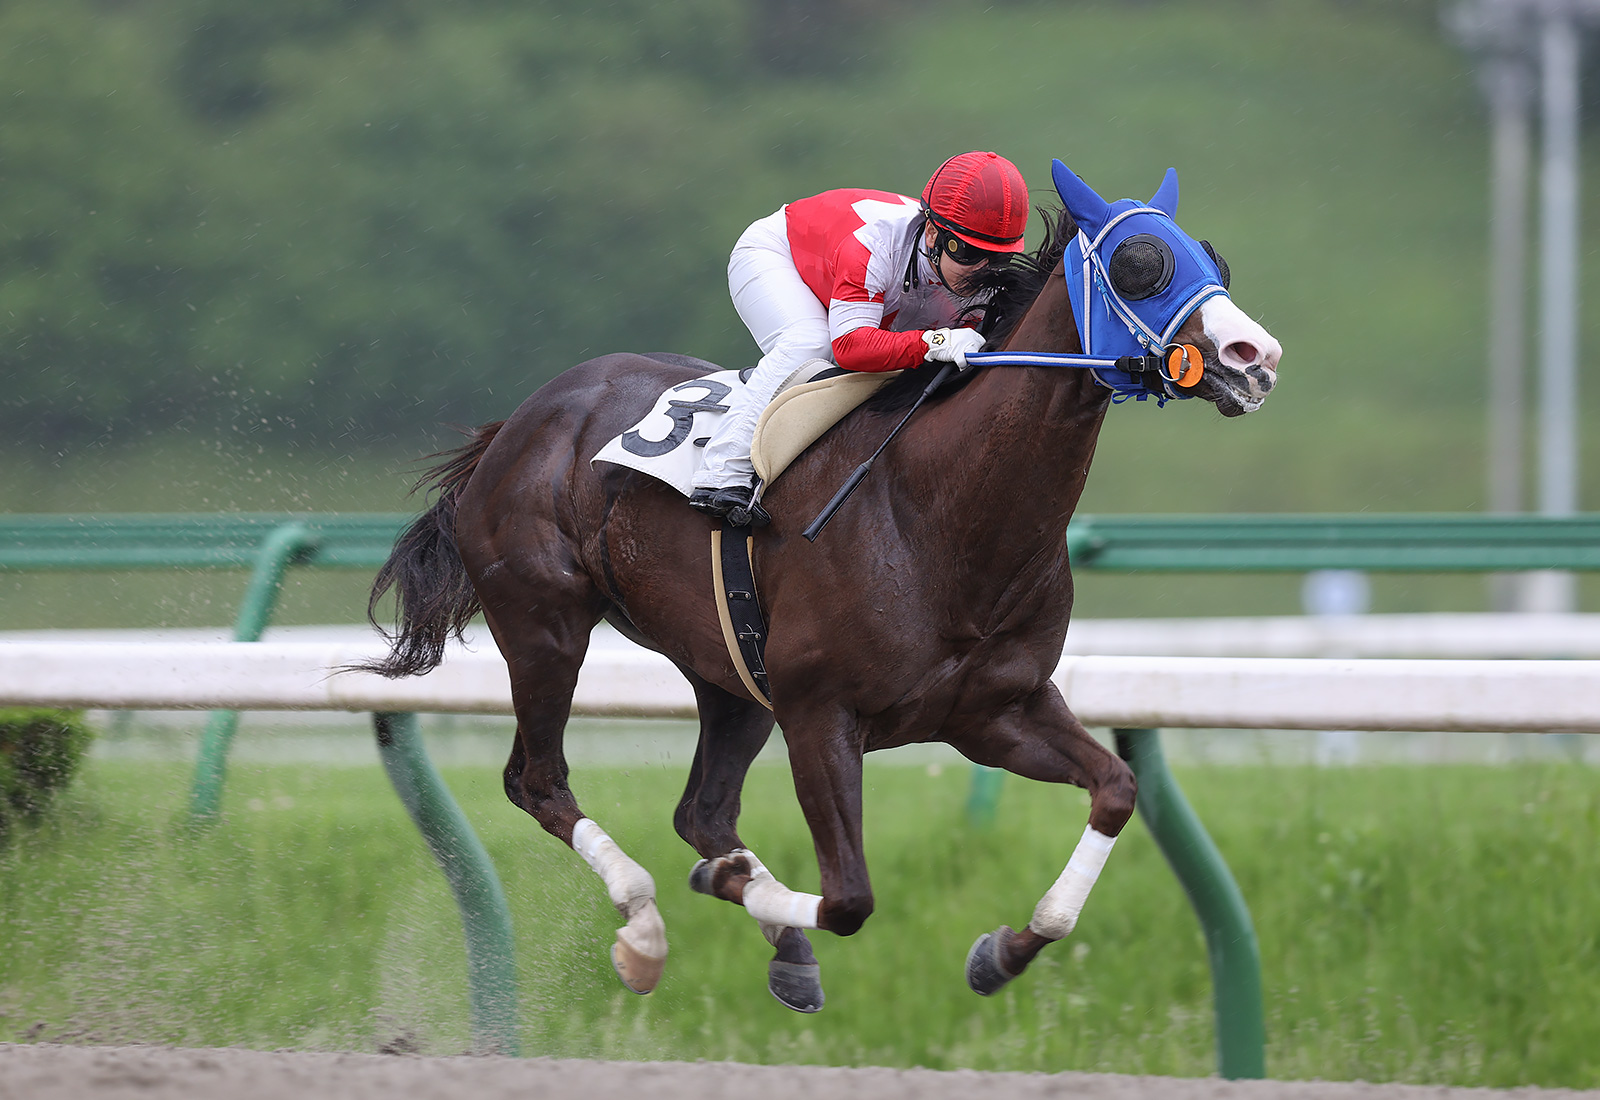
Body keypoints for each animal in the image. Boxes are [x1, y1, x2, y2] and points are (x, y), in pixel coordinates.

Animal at [368, 159, 1280, 1010]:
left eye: (1215, 261)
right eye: (1140, 263)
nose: (1255, 358)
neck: (938, 510)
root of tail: (519, 422)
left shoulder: (995, 711)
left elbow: (1117, 791)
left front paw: (1002, 953)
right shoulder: (821, 716)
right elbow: (849, 899)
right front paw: (728, 887)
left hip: (725, 667)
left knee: (701, 810)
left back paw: (776, 943)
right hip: (544, 625)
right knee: (539, 781)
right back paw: (646, 931)